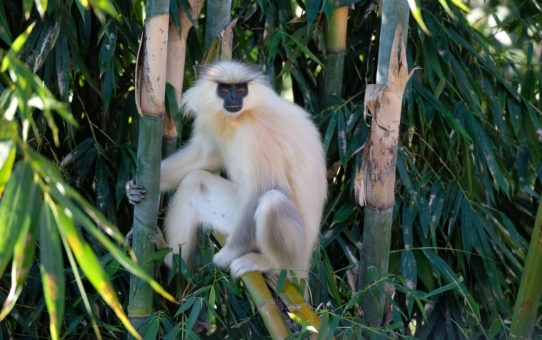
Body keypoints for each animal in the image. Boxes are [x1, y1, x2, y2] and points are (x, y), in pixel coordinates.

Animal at [130, 61, 330, 284]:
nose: (234, 98)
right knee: (194, 180)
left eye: (241, 89)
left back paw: (271, 266)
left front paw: (228, 255)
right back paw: (170, 258)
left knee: (272, 201)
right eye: (225, 89)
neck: (238, 118)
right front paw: (134, 187)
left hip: (295, 257)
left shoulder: (259, 133)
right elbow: (206, 158)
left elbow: (267, 186)